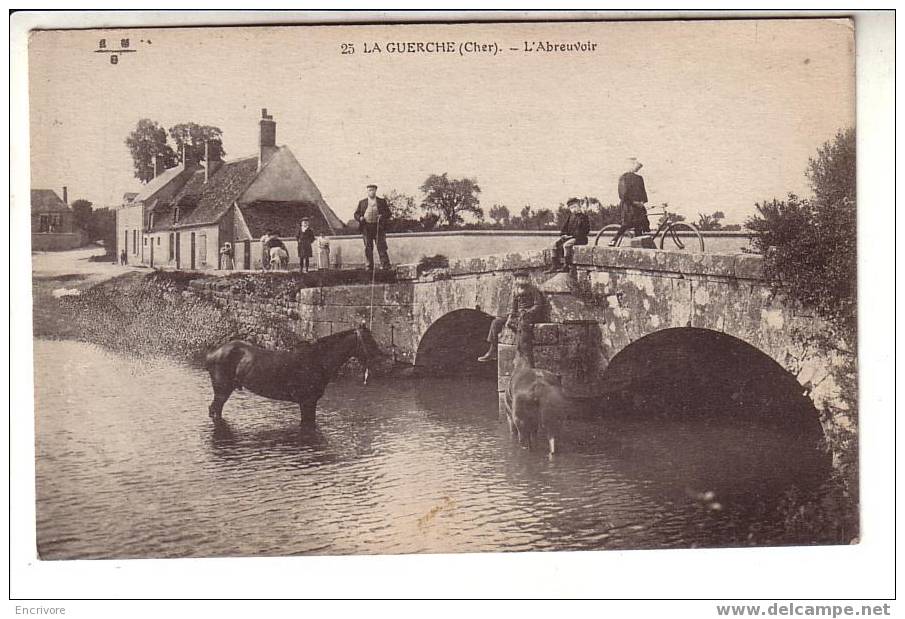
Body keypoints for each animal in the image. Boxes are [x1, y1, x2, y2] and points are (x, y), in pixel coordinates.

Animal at [206, 326, 382, 424]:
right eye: (368, 340)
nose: (381, 361)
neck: (317, 359)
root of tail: (212, 353)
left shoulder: (310, 403)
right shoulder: (307, 402)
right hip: (222, 391)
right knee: (214, 410)